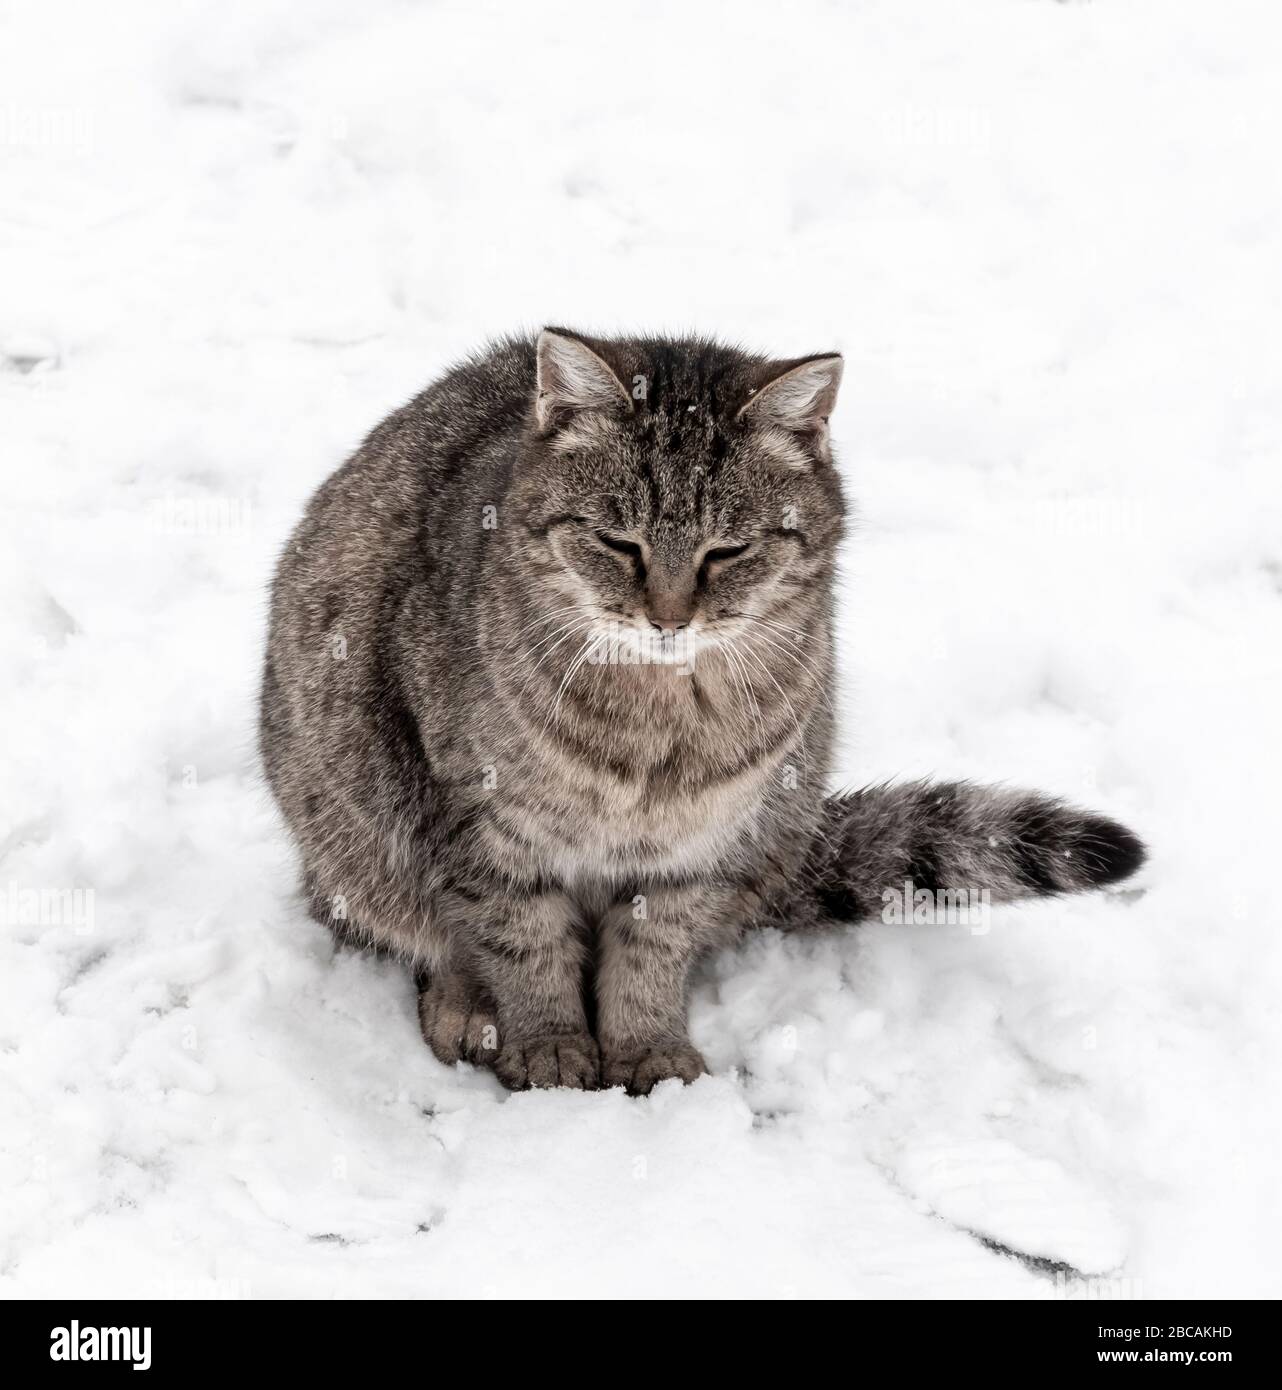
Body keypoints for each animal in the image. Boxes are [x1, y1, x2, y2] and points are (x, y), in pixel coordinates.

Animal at [257, 330, 1140, 1089]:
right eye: (619, 543)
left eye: (728, 550)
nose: (669, 618)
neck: (656, 725)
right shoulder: (485, 830)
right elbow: (521, 944)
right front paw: (547, 1042)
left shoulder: (695, 849)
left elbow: (650, 956)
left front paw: (647, 1047)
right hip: (347, 818)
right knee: (405, 923)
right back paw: (465, 1006)